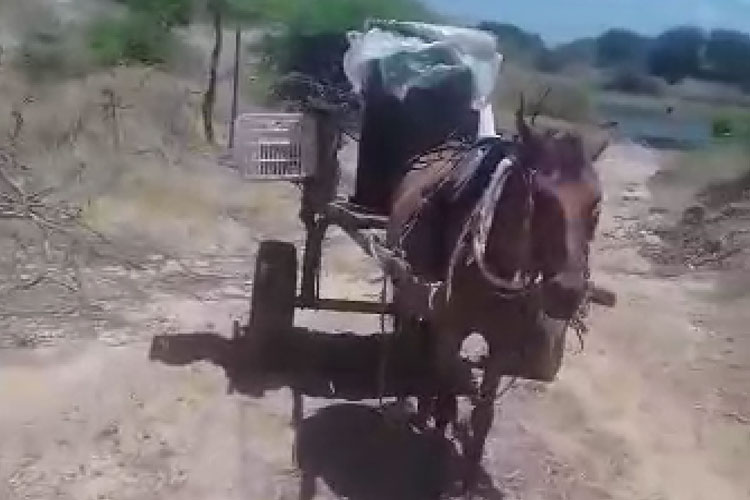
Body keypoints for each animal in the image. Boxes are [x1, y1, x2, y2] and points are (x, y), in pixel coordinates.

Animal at [388, 106, 604, 492]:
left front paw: (468, 478)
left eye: (596, 203)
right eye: (540, 198)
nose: (567, 292)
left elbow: (483, 414)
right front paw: (437, 444)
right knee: (408, 332)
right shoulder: (452, 329)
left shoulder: (502, 346)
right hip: (405, 285)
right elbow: (451, 383)